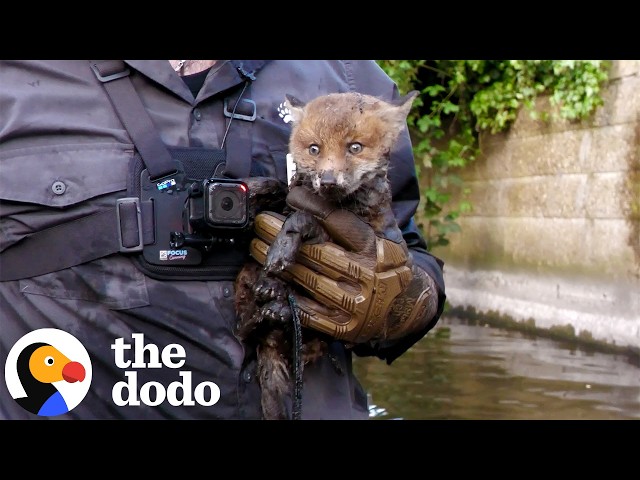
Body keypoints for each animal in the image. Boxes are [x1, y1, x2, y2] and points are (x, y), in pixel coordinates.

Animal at [234, 90, 419, 420]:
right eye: (314, 149)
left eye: (355, 147)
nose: (329, 180)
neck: (340, 205)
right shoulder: (292, 196)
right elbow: (279, 187)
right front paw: (250, 190)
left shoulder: (338, 236)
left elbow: (303, 218)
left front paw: (282, 247)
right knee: (245, 329)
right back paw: (268, 300)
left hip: (323, 328)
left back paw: (279, 305)